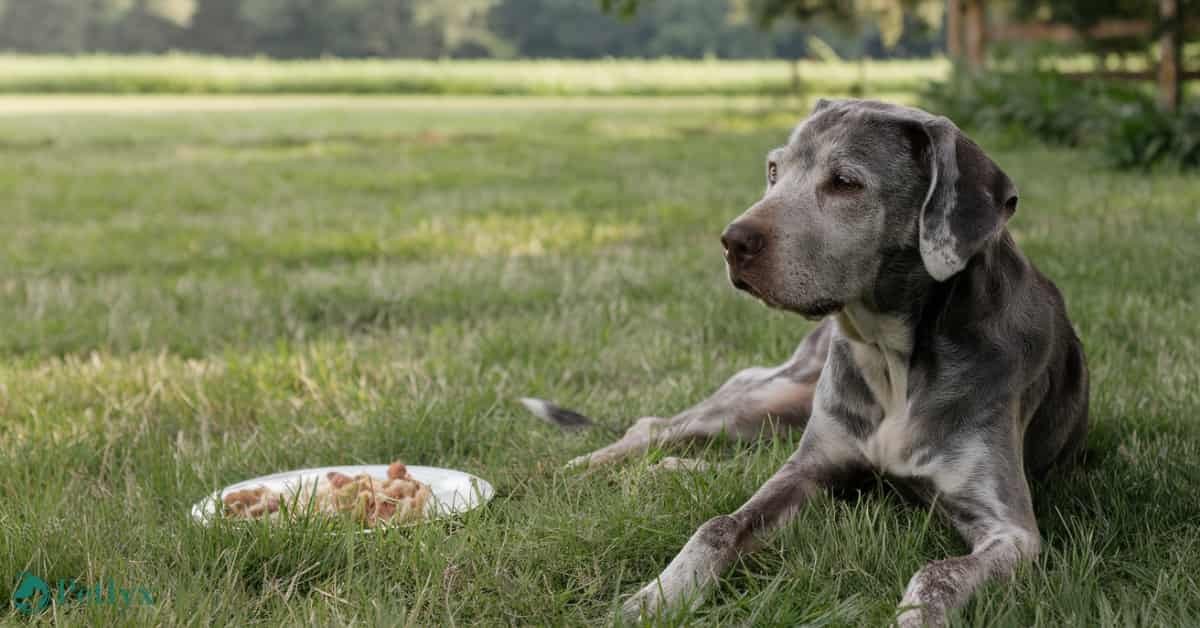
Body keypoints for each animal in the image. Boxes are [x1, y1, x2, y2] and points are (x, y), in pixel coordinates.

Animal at [523, 99, 1089, 628]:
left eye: (845, 182)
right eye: (774, 169)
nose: (732, 241)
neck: (893, 360)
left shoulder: (1010, 530)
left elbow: (938, 574)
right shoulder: (810, 469)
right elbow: (717, 525)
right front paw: (655, 597)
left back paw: (673, 470)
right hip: (774, 395)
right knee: (654, 427)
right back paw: (573, 472)